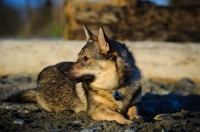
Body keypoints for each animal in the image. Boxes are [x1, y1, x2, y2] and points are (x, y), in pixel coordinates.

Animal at [6, 25, 141, 124]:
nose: (64, 72)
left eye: (85, 58)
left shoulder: (135, 103)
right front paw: (127, 122)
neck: (116, 86)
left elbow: (134, 109)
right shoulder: (96, 109)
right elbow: (116, 114)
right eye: (78, 58)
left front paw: (136, 117)